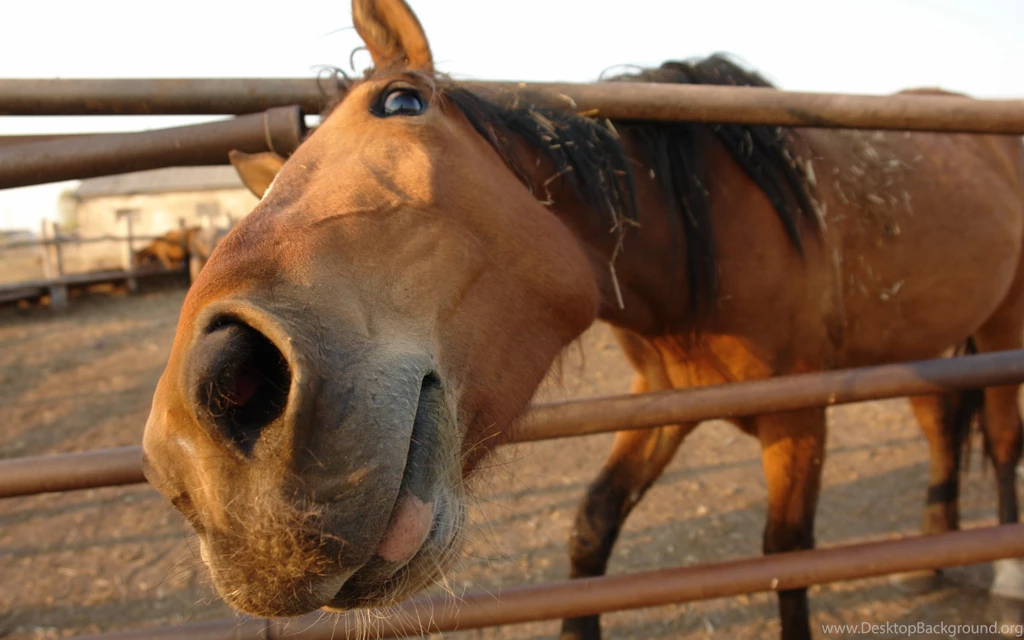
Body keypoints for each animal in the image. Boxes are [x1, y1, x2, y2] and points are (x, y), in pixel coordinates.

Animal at [139, 1, 1024, 638]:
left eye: (402, 101)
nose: (194, 441)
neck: (707, 234)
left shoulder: (797, 413)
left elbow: (786, 557)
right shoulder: (664, 397)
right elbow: (592, 526)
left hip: (1003, 329)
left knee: (1001, 435)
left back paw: (1004, 572)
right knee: (944, 424)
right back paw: (931, 552)